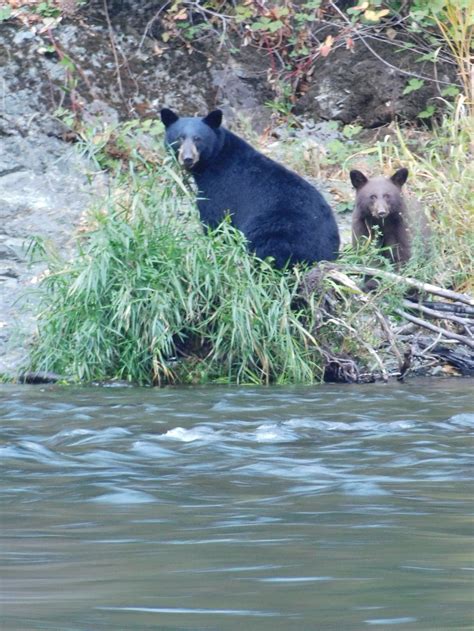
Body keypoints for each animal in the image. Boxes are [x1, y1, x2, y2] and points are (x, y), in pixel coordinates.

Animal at [161, 107, 338, 268]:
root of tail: (325, 255)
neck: (214, 162)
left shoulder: (219, 188)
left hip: (279, 227)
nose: (187, 158)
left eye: (198, 139)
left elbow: (215, 219)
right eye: (179, 138)